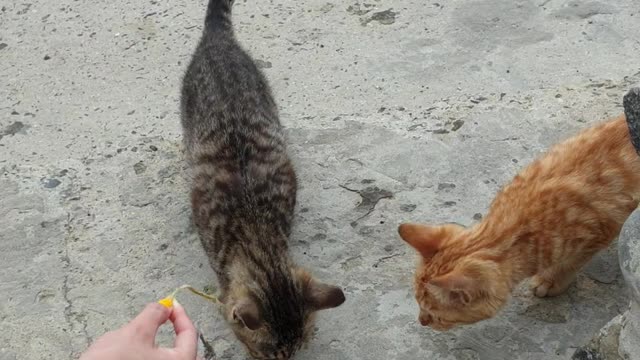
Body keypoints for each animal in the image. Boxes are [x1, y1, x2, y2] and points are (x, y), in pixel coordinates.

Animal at [400, 88, 640, 330]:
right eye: (417, 303)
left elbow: (570, 262)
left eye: (435, 315)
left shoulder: (602, 229)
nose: (421, 321)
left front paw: (550, 280)